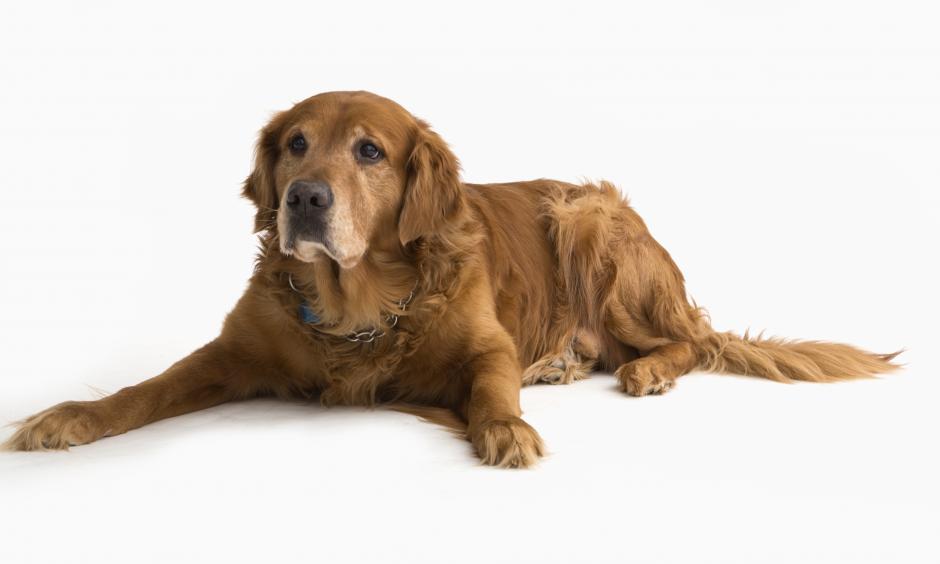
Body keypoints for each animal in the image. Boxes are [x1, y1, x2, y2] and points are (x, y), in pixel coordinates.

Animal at [5, 89, 904, 468]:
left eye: (369, 150)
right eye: (295, 144)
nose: (304, 199)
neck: (355, 303)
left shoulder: (485, 346)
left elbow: (492, 386)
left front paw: (504, 429)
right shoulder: (231, 353)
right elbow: (144, 389)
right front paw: (68, 418)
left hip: (590, 218)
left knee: (688, 341)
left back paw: (641, 368)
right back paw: (567, 361)